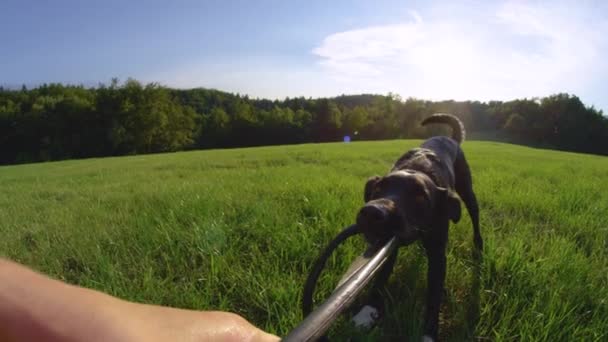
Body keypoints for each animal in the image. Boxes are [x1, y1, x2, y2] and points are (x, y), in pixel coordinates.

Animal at [354, 113, 482, 340]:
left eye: (420, 197)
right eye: (378, 188)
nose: (372, 213)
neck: (416, 168)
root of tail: (451, 138)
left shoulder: (438, 255)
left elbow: (433, 298)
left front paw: (429, 335)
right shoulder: (387, 246)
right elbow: (379, 279)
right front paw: (367, 312)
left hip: (467, 191)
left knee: (475, 215)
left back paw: (479, 245)